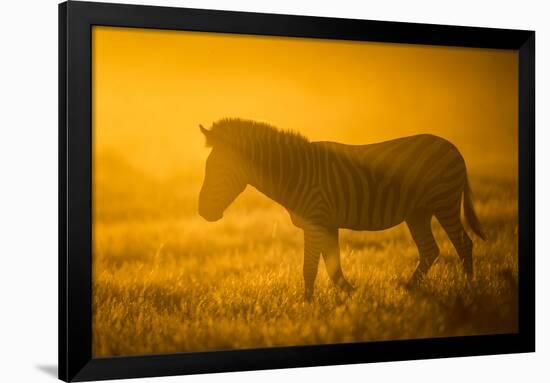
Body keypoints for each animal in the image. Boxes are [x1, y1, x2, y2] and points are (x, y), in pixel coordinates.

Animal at [198, 118, 488, 302]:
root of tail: (452, 147)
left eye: (217, 169)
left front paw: (308, 306)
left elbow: (310, 268)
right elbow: (333, 269)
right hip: (418, 212)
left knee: (463, 244)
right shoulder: (327, 224)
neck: (295, 173)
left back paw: (469, 289)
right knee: (430, 250)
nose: (202, 212)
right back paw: (408, 290)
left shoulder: (316, 221)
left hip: (444, 202)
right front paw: (354, 296)